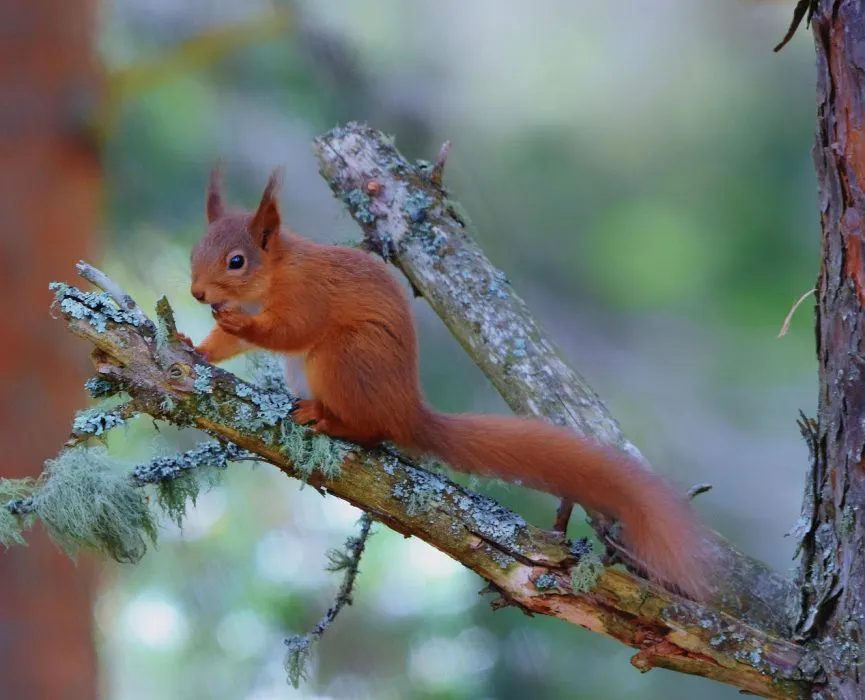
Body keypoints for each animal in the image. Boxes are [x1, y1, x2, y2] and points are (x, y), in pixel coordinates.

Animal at [186, 166, 713, 600]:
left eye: (237, 261)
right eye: (194, 252)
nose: (197, 293)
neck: (275, 275)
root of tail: (407, 410)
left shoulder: (308, 296)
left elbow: (289, 331)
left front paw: (240, 325)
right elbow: (225, 345)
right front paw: (198, 347)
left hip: (344, 358)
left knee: (371, 430)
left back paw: (331, 420)